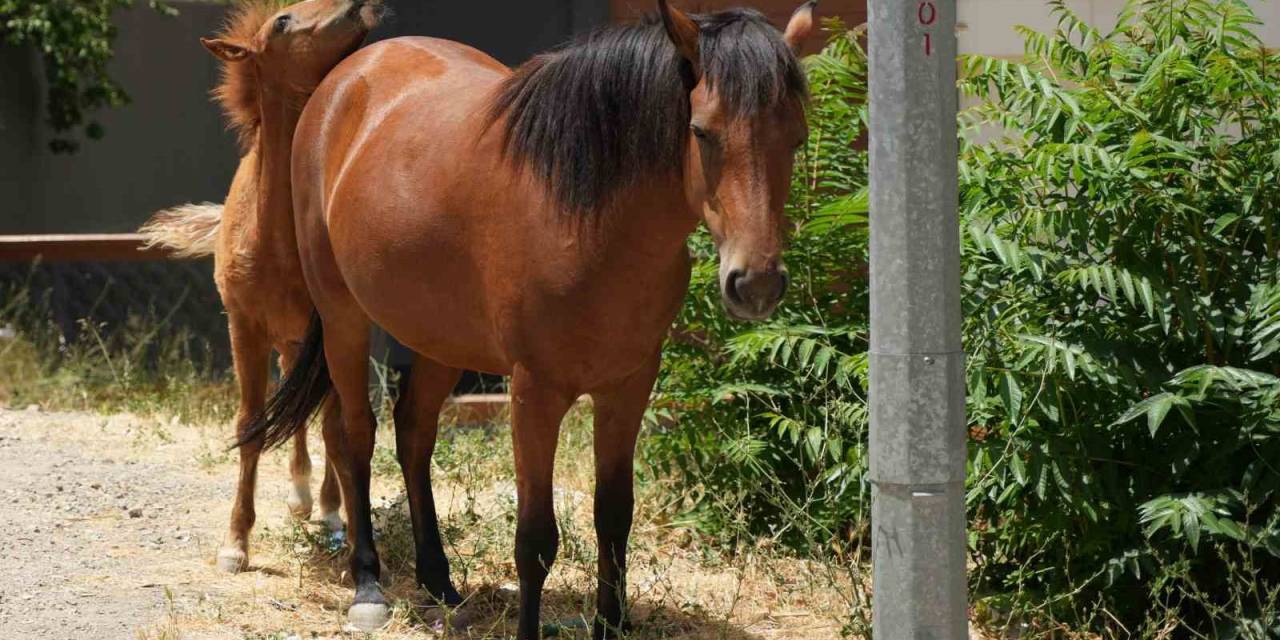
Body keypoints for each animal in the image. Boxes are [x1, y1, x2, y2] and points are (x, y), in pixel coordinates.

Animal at [144, 0, 384, 573]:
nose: (360, 6)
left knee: (322, 419)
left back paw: (326, 507)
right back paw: (300, 496)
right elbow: (251, 424)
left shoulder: (336, 333)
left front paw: (345, 527)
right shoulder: (245, 328)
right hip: (287, 343)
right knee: (293, 412)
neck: (275, 236)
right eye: (283, 21)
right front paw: (236, 544)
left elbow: (337, 429)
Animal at [239, 2, 814, 634]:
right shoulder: (535, 393)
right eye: (701, 132)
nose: (755, 283)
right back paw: (368, 585)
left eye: (796, 138)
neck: (590, 222)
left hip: (441, 337)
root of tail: (346, 75)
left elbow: (614, 515)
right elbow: (536, 538)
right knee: (354, 436)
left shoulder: (628, 387)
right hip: (344, 316)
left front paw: (612, 624)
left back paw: (440, 584)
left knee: (413, 434)